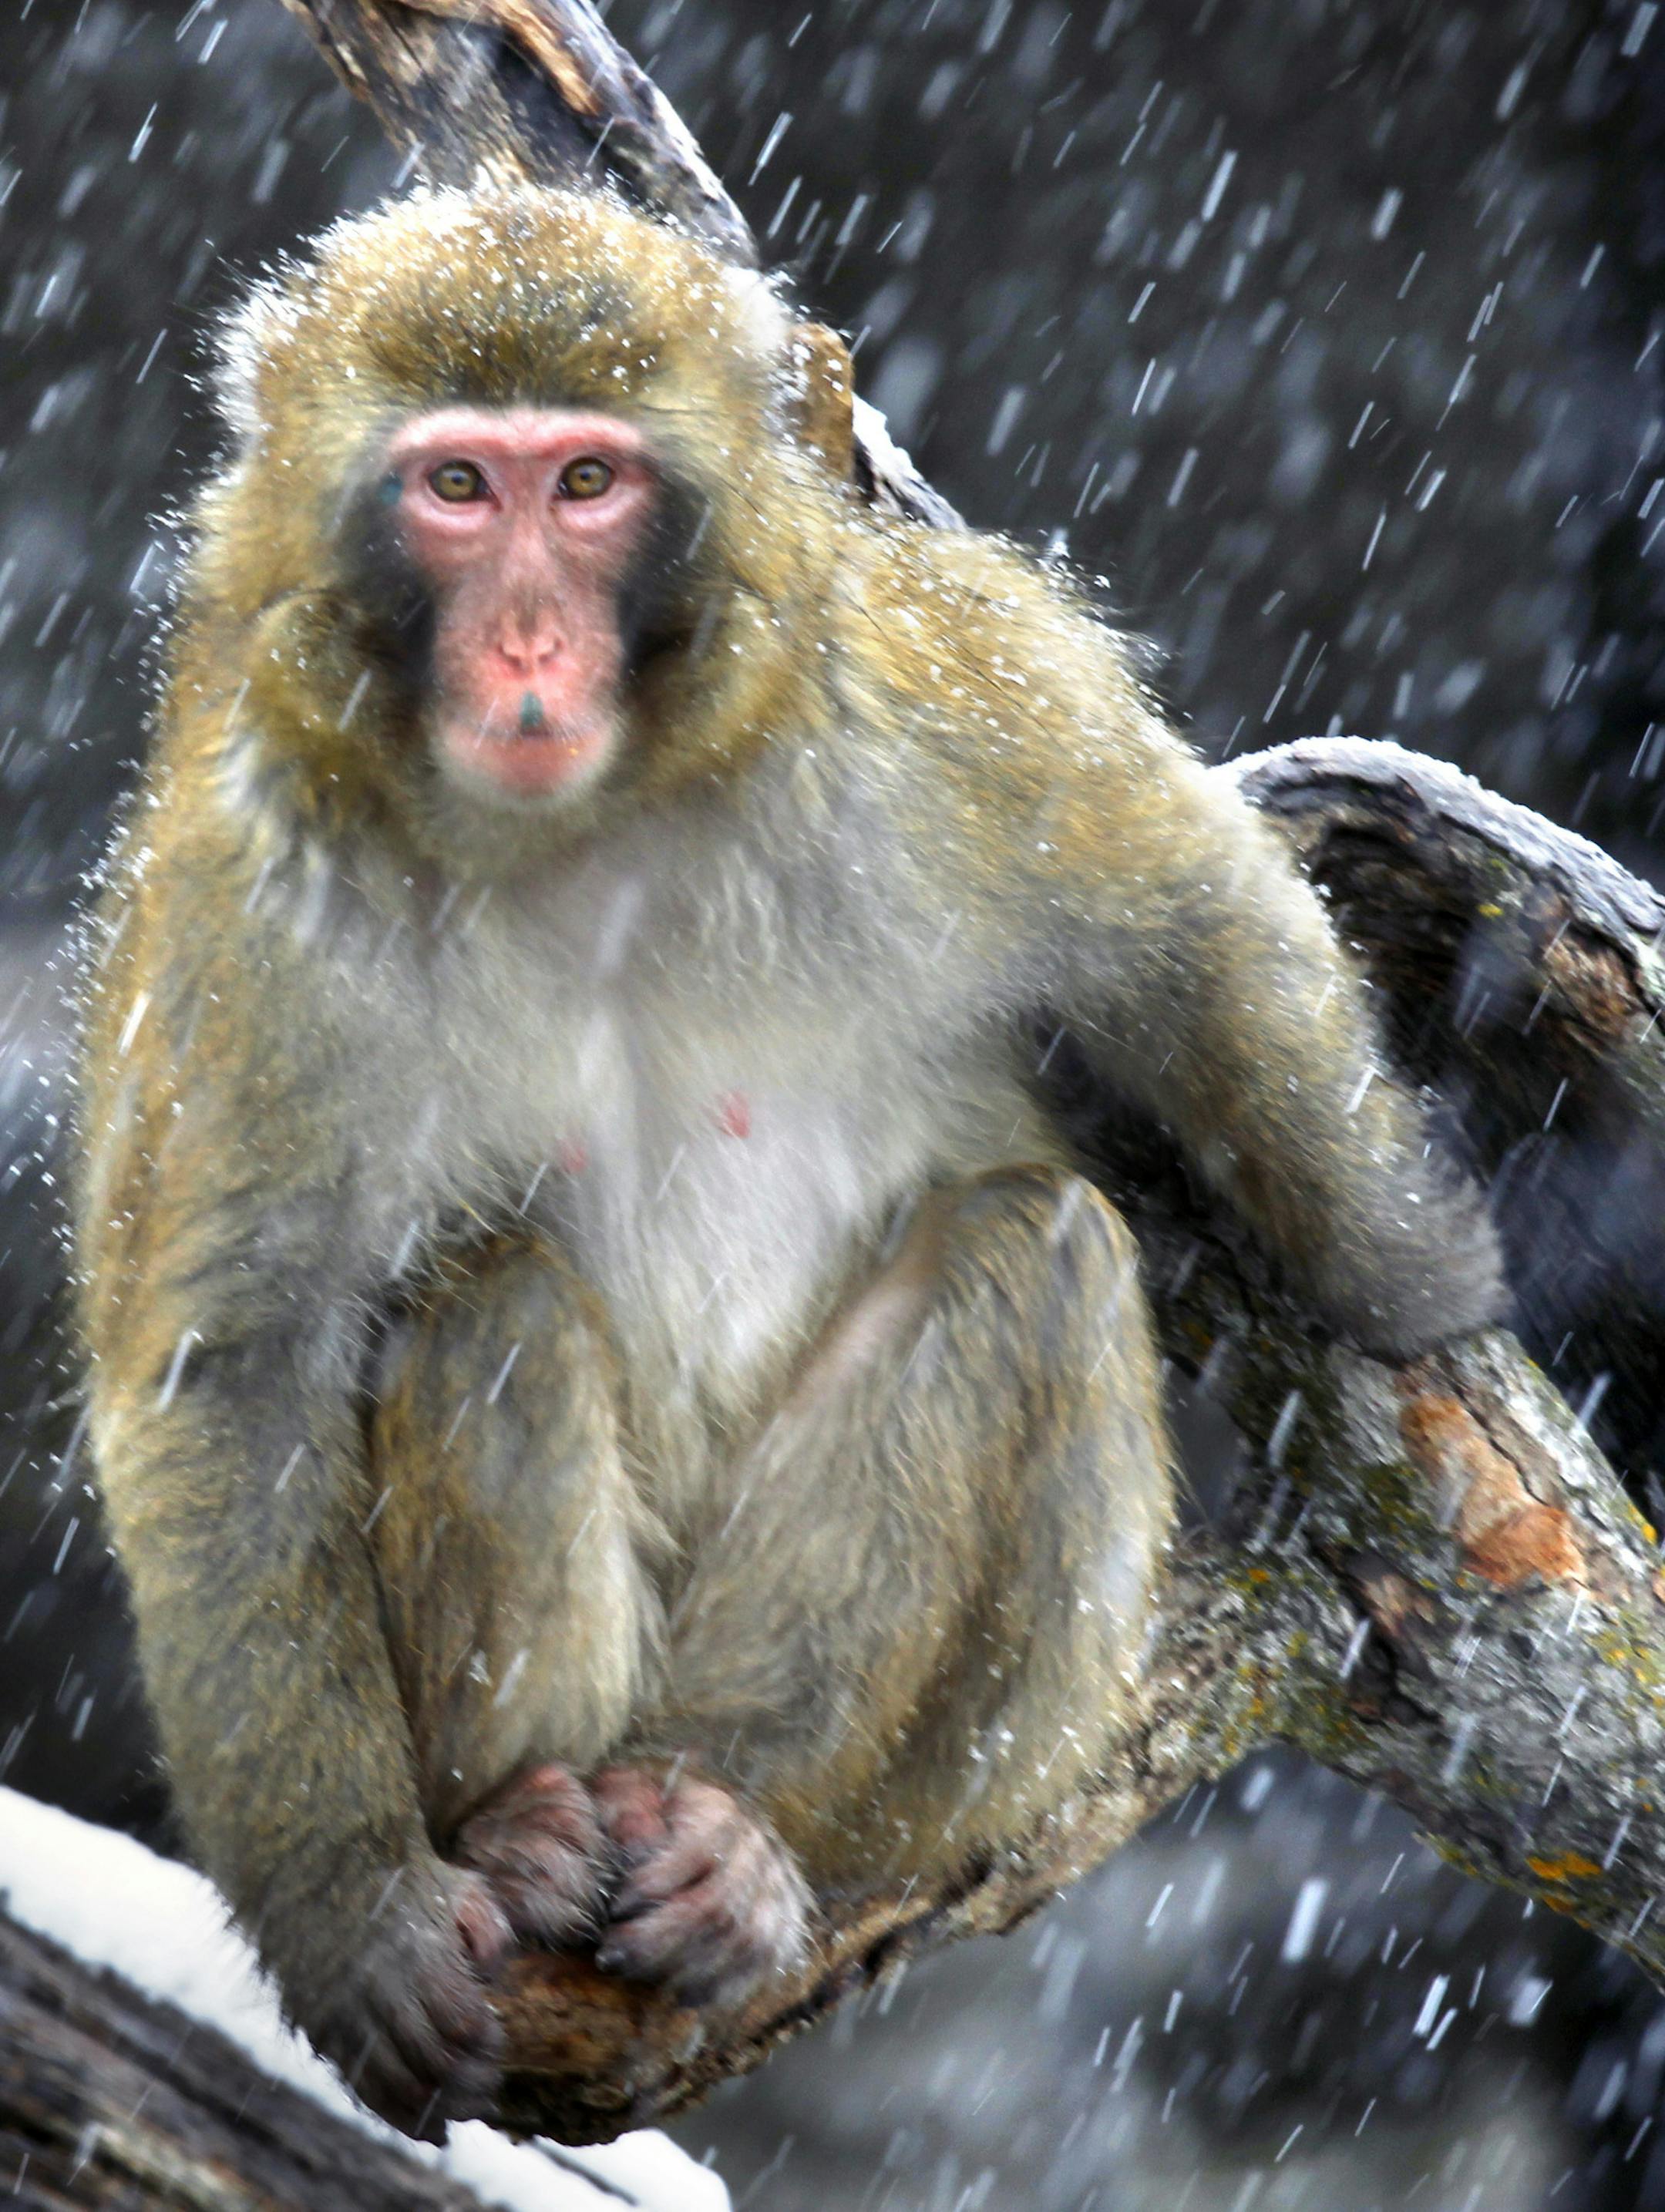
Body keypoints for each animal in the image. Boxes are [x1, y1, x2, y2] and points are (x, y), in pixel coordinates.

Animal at [70, 179, 1504, 2142]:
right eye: (460, 488)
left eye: (588, 484)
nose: (528, 645)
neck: (591, 830)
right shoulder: (254, 887)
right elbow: (234, 1358)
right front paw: (348, 1910)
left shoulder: (909, 702)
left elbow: (1187, 916)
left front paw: (1408, 1272)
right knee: (484, 1287)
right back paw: (527, 1833)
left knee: (1033, 1259)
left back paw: (739, 1839)